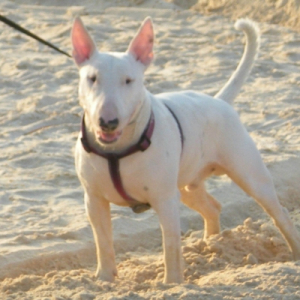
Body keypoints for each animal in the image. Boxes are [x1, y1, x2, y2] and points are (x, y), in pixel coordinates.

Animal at [71, 16, 300, 284]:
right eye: (92, 78)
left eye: (128, 80)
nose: (108, 122)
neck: (117, 151)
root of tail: (219, 101)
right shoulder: (94, 200)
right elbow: (103, 242)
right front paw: (104, 279)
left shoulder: (165, 199)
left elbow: (171, 245)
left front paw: (172, 283)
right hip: (187, 183)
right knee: (212, 207)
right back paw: (211, 244)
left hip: (249, 174)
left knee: (279, 212)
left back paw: (294, 252)